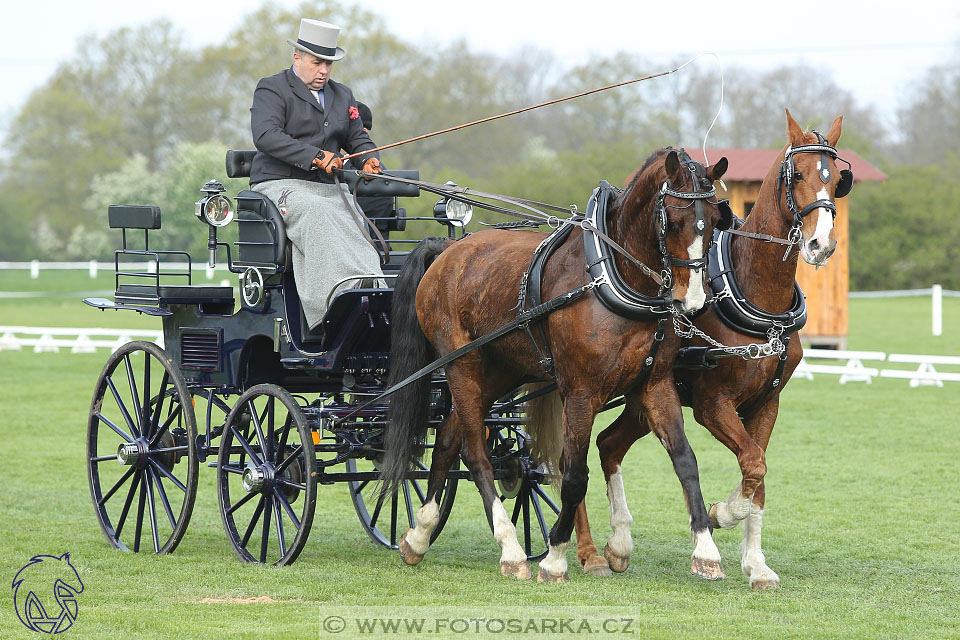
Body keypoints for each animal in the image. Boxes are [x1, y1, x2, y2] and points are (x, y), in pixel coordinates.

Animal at [378, 149, 732, 580]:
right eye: (674, 221)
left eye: (714, 220)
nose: (693, 300)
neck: (612, 274)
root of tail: (449, 251)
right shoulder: (580, 392)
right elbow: (574, 474)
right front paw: (556, 555)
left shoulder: (655, 384)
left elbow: (685, 461)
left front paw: (706, 550)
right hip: (462, 364)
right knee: (475, 452)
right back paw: (510, 549)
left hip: (501, 370)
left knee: (447, 439)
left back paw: (419, 534)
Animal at [568, 107, 848, 588]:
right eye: (798, 175)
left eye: (837, 180)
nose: (820, 244)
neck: (756, 293)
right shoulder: (713, 404)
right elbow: (753, 463)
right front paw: (721, 514)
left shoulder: (766, 403)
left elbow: (759, 471)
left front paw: (756, 563)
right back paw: (589, 551)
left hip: (642, 398)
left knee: (607, 444)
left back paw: (619, 543)